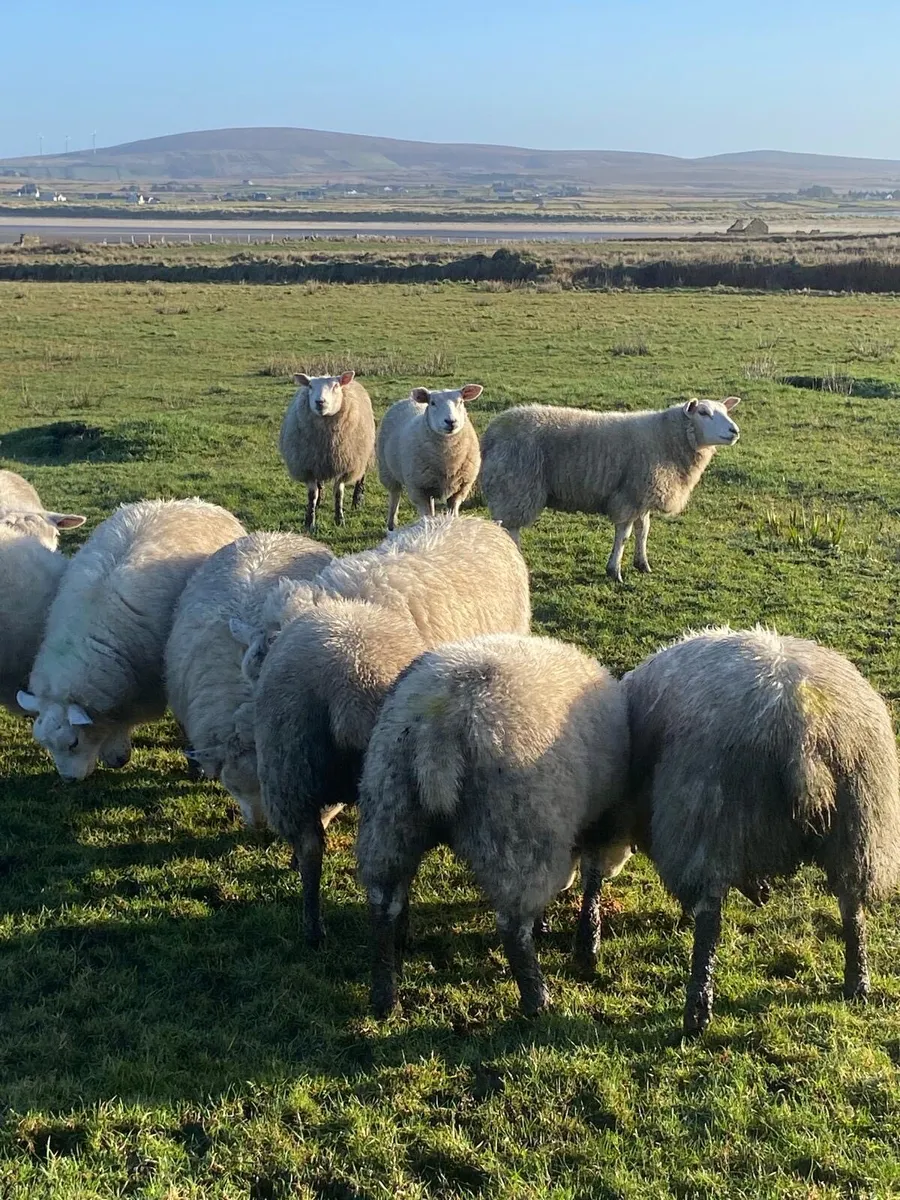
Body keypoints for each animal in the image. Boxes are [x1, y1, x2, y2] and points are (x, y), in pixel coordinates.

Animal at [278, 370, 376, 533]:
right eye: (310, 386)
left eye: (336, 386)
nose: (320, 402)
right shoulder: (309, 466)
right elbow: (312, 495)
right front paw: (310, 521)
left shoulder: (344, 465)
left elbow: (338, 494)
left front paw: (339, 519)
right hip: (319, 462)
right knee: (320, 484)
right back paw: (320, 500)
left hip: (363, 454)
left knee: (361, 478)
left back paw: (357, 501)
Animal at [357, 633, 632, 1017]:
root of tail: (440, 725)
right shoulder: (600, 824)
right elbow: (592, 884)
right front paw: (586, 947)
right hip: (515, 829)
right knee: (512, 926)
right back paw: (537, 1001)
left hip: (390, 812)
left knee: (384, 904)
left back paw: (385, 996)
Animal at [376, 384, 483, 530]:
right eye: (432, 403)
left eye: (461, 402)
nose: (451, 421)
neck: (448, 456)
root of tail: (407, 399)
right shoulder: (418, 490)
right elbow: (426, 516)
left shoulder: (460, 489)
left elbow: (453, 513)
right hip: (387, 470)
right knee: (395, 495)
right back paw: (391, 524)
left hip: (430, 482)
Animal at [479, 397, 741, 581]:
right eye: (704, 413)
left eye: (726, 411)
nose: (734, 431)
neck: (666, 438)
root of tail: (491, 432)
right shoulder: (628, 495)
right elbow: (624, 535)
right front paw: (614, 570)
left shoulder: (642, 493)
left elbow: (643, 530)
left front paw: (642, 564)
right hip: (516, 487)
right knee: (511, 529)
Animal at [623, 626, 900, 1036]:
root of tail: (805, 733)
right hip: (860, 825)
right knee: (852, 907)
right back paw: (857, 981)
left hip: (711, 817)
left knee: (709, 918)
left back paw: (697, 1012)